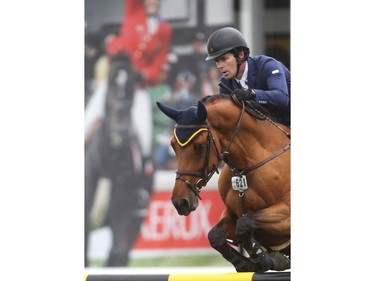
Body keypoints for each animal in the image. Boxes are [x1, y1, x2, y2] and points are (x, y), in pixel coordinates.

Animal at [157, 94, 292, 272]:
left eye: (200, 146)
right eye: (173, 145)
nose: (180, 202)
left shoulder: (286, 214)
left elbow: (244, 224)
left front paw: (265, 259)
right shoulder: (232, 212)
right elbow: (215, 234)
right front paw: (246, 263)